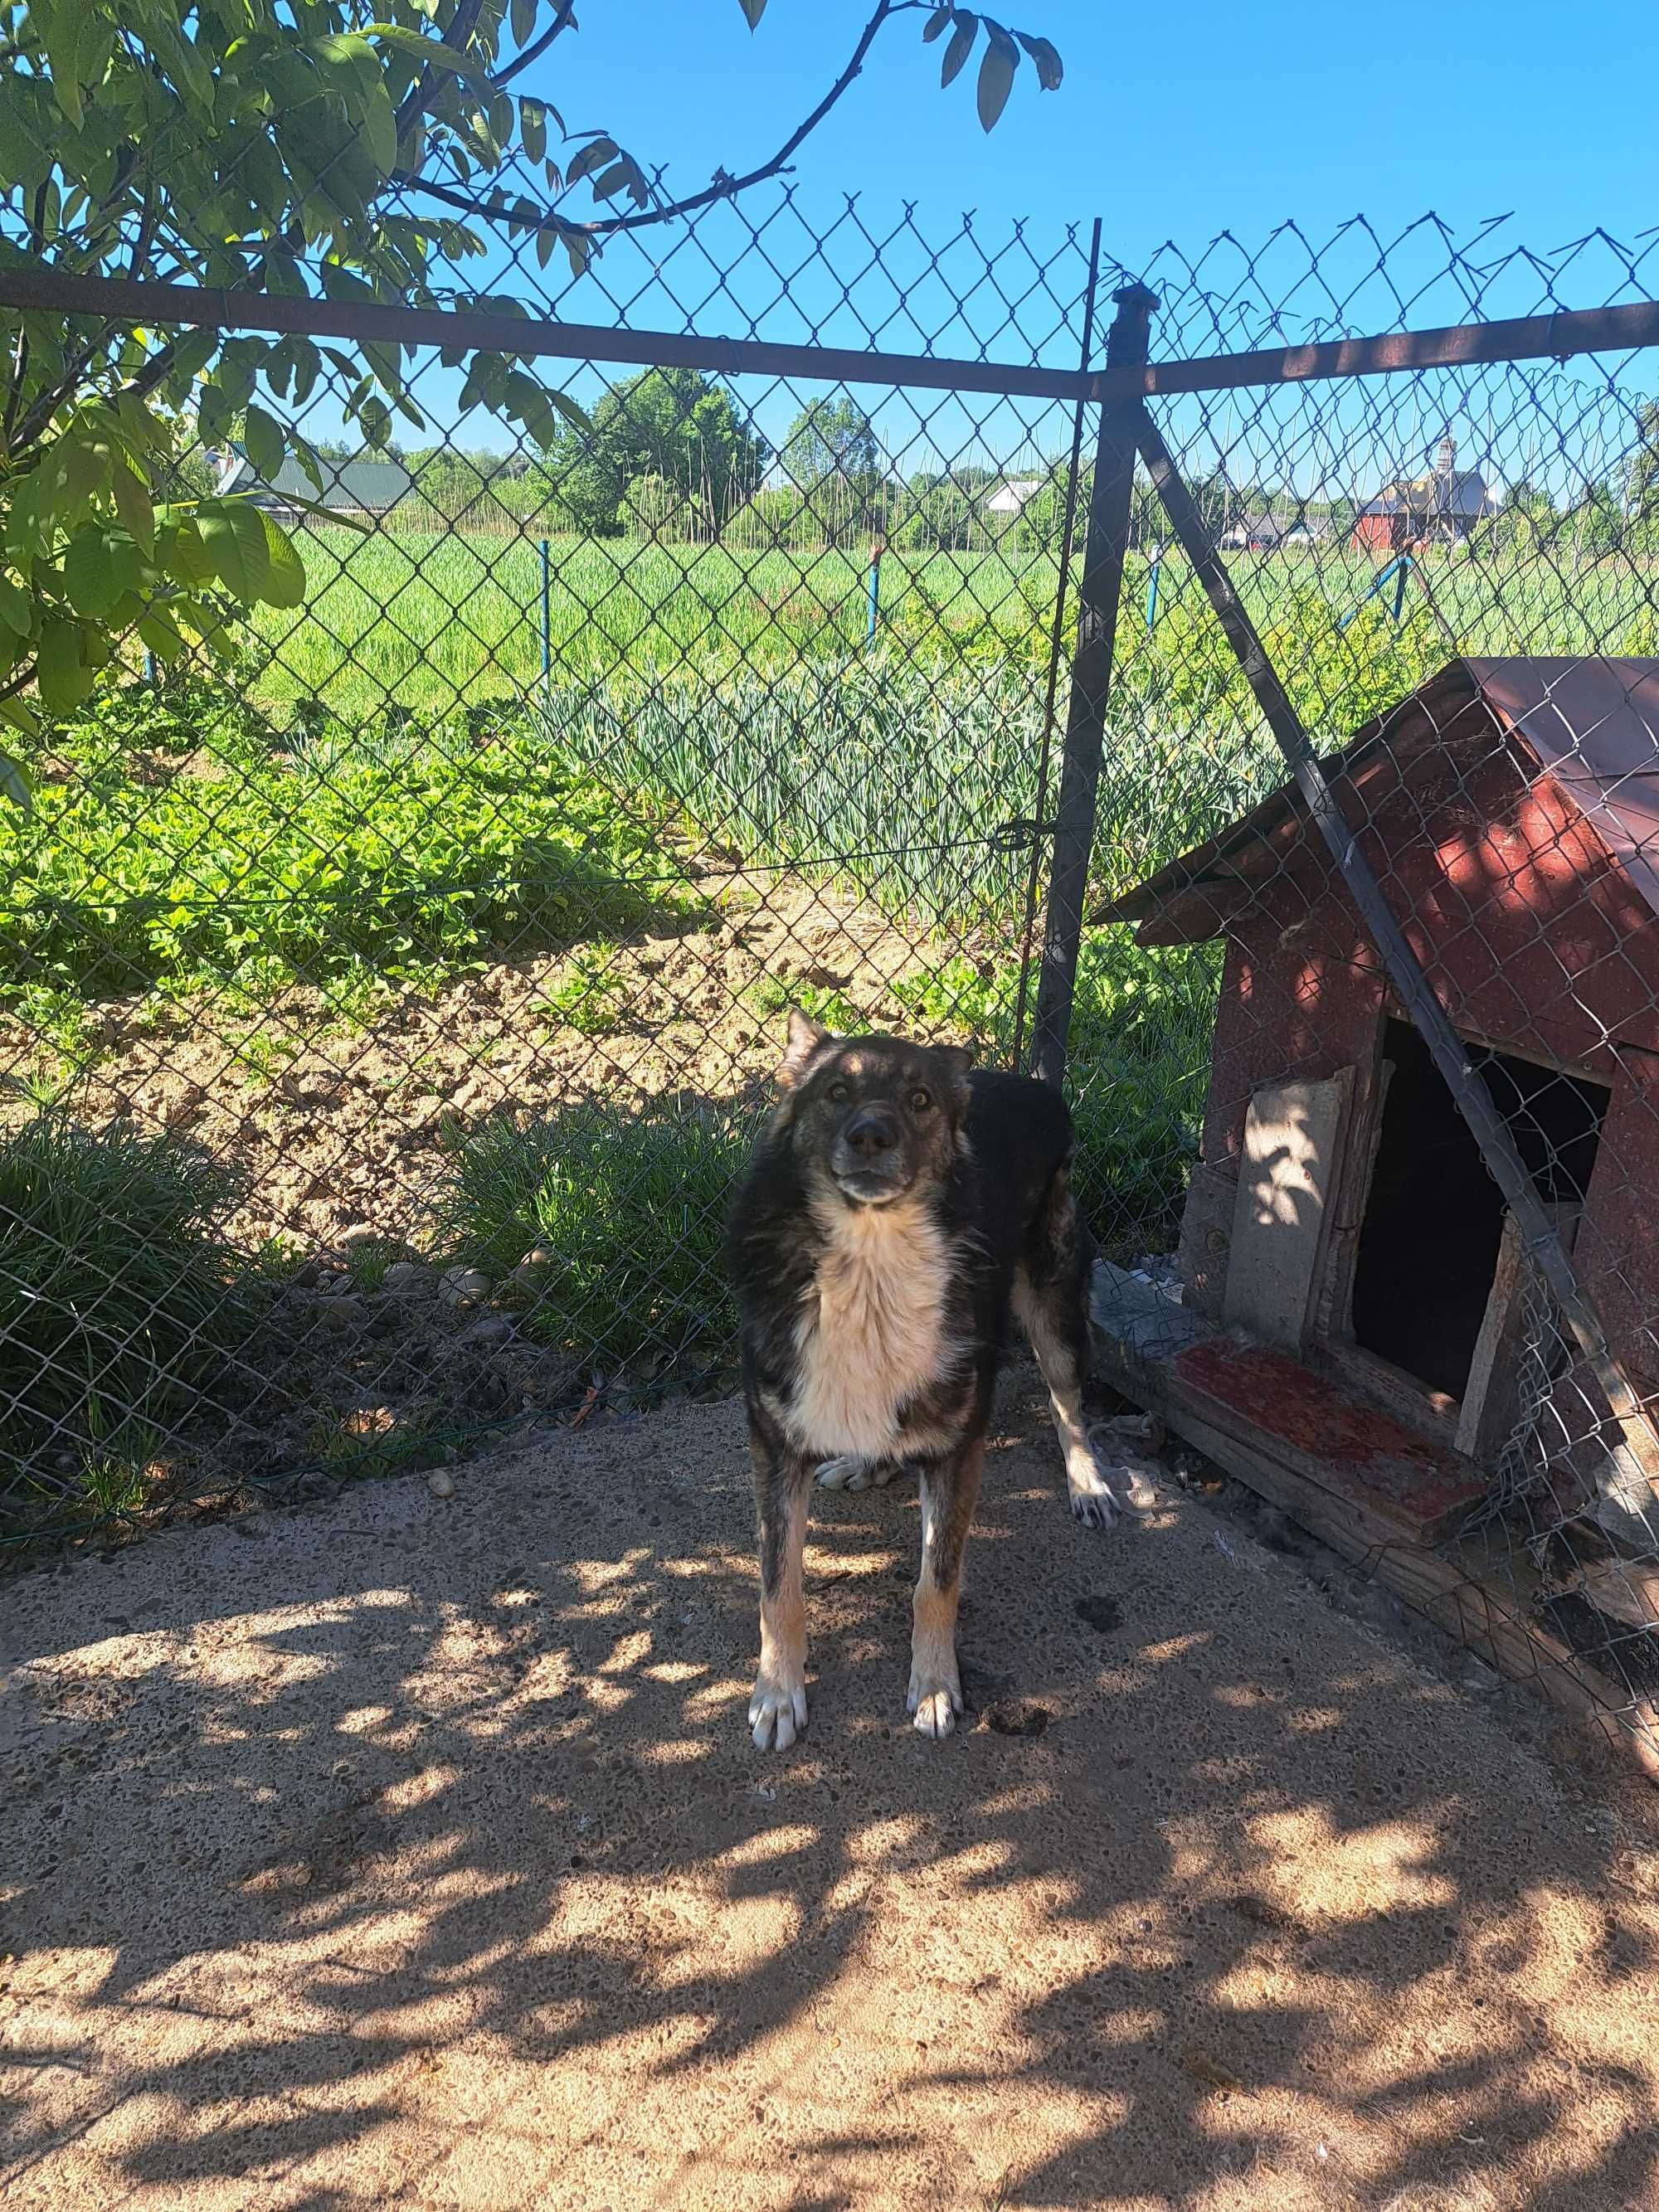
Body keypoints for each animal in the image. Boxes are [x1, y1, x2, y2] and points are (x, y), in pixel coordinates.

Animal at [730, 1013, 1141, 1752]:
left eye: (920, 1099)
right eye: (836, 1090)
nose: (871, 1135)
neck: (870, 1262)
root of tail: (1031, 1084)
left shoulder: (959, 1449)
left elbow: (936, 1580)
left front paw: (934, 1685)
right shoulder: (774, 1446)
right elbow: (778, 1585)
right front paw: (776, 1692)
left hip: (1056, 1309)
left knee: (1068, 1403)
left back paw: (1087, 1481)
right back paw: (866, 1464)